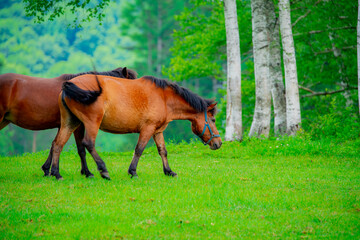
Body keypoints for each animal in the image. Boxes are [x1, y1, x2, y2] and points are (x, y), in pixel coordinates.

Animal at [0, 66, 138, 177]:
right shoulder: (79, 126)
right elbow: (81, 149)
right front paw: (87, 172)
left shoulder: (63, 125)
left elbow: (54, 144)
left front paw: (47, 169)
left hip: (4, 120)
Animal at [48, 75, 222, 180]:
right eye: (213, 119)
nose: (218, 143)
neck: (164, 98)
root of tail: (69, 86)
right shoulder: (147, 129)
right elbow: (139, 150)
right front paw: (132, 171)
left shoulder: (158, 131)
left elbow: (163, 151)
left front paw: (168, 171)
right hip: (91, 123)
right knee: (88, 144)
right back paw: (103, 170)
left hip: (70, 123)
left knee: (58, 144)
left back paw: (56, 173)